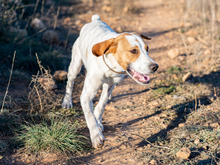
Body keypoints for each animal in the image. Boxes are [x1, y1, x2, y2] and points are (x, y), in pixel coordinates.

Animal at [62, 14, 158, 148]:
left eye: (147, 49)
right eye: (134, 51)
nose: (155, 67)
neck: (112, 66)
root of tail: (95, 20)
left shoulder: (110, 86)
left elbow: (101, 104)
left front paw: (98, 121)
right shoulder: (87, 94)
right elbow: (89, 115)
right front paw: (96, 136)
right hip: (75, 66)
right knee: (70, 83)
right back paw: (66, 102)